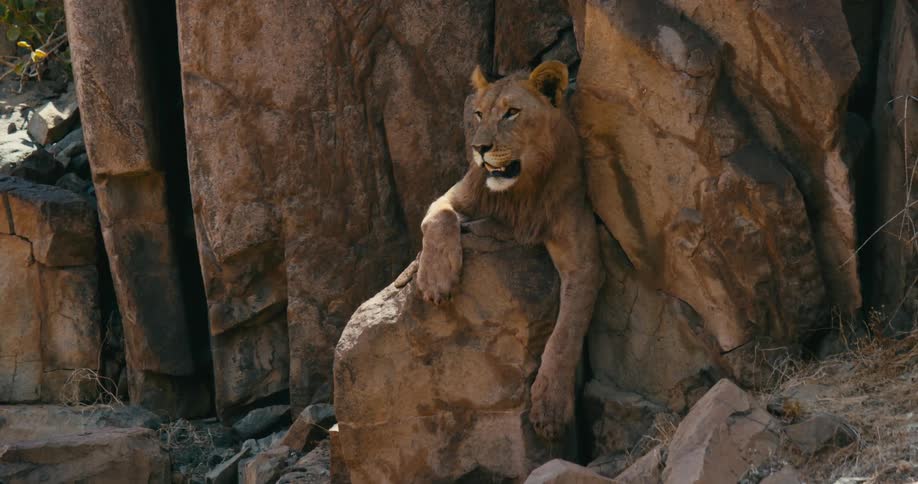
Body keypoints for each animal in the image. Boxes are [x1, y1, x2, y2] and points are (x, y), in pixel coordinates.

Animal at [413, 60, 602, 440]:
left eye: (511, 113)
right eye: (479, 114)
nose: (479, 148)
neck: (522, 192)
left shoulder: (584, 260)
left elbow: (565, 333)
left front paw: (550, 406)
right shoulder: (458, 194)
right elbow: (438, 219)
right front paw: (436, 281)